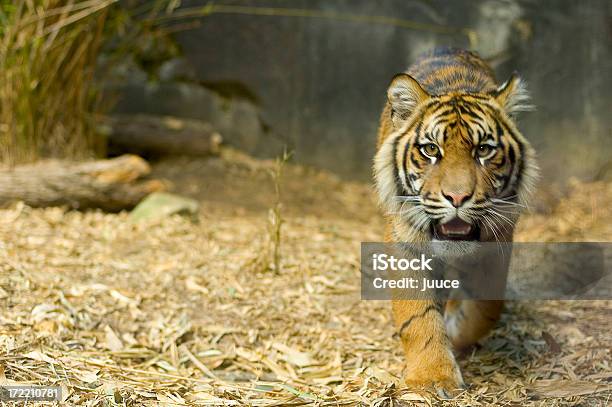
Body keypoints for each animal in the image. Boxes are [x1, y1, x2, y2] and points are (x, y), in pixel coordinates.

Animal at [372, 48, 536, 398]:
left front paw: (456, 332)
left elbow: (487, 307)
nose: (457, 197)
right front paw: (433, 377)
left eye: (484, 149)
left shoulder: (499, 240)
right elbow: (418, 315)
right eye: (431, 150)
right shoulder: (407, 245)